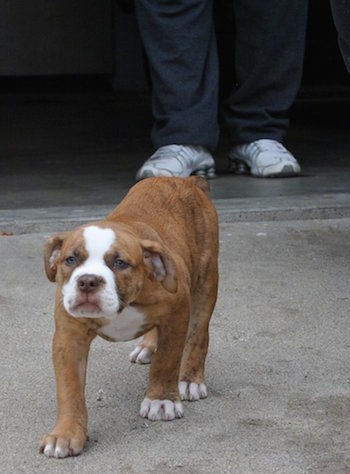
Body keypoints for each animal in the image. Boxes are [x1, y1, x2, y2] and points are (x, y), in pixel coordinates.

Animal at [39, 176, 219, 458]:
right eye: (70, 260)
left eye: (120, 263)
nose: (88, 281)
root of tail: (183, 179)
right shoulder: (69, 337)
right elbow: (70, 389)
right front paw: (66, 433)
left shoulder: (178, 312)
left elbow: (167, 361)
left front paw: (161, 400)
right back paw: (148, 347)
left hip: (205, 283)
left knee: (198, 335)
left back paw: (190, 379)